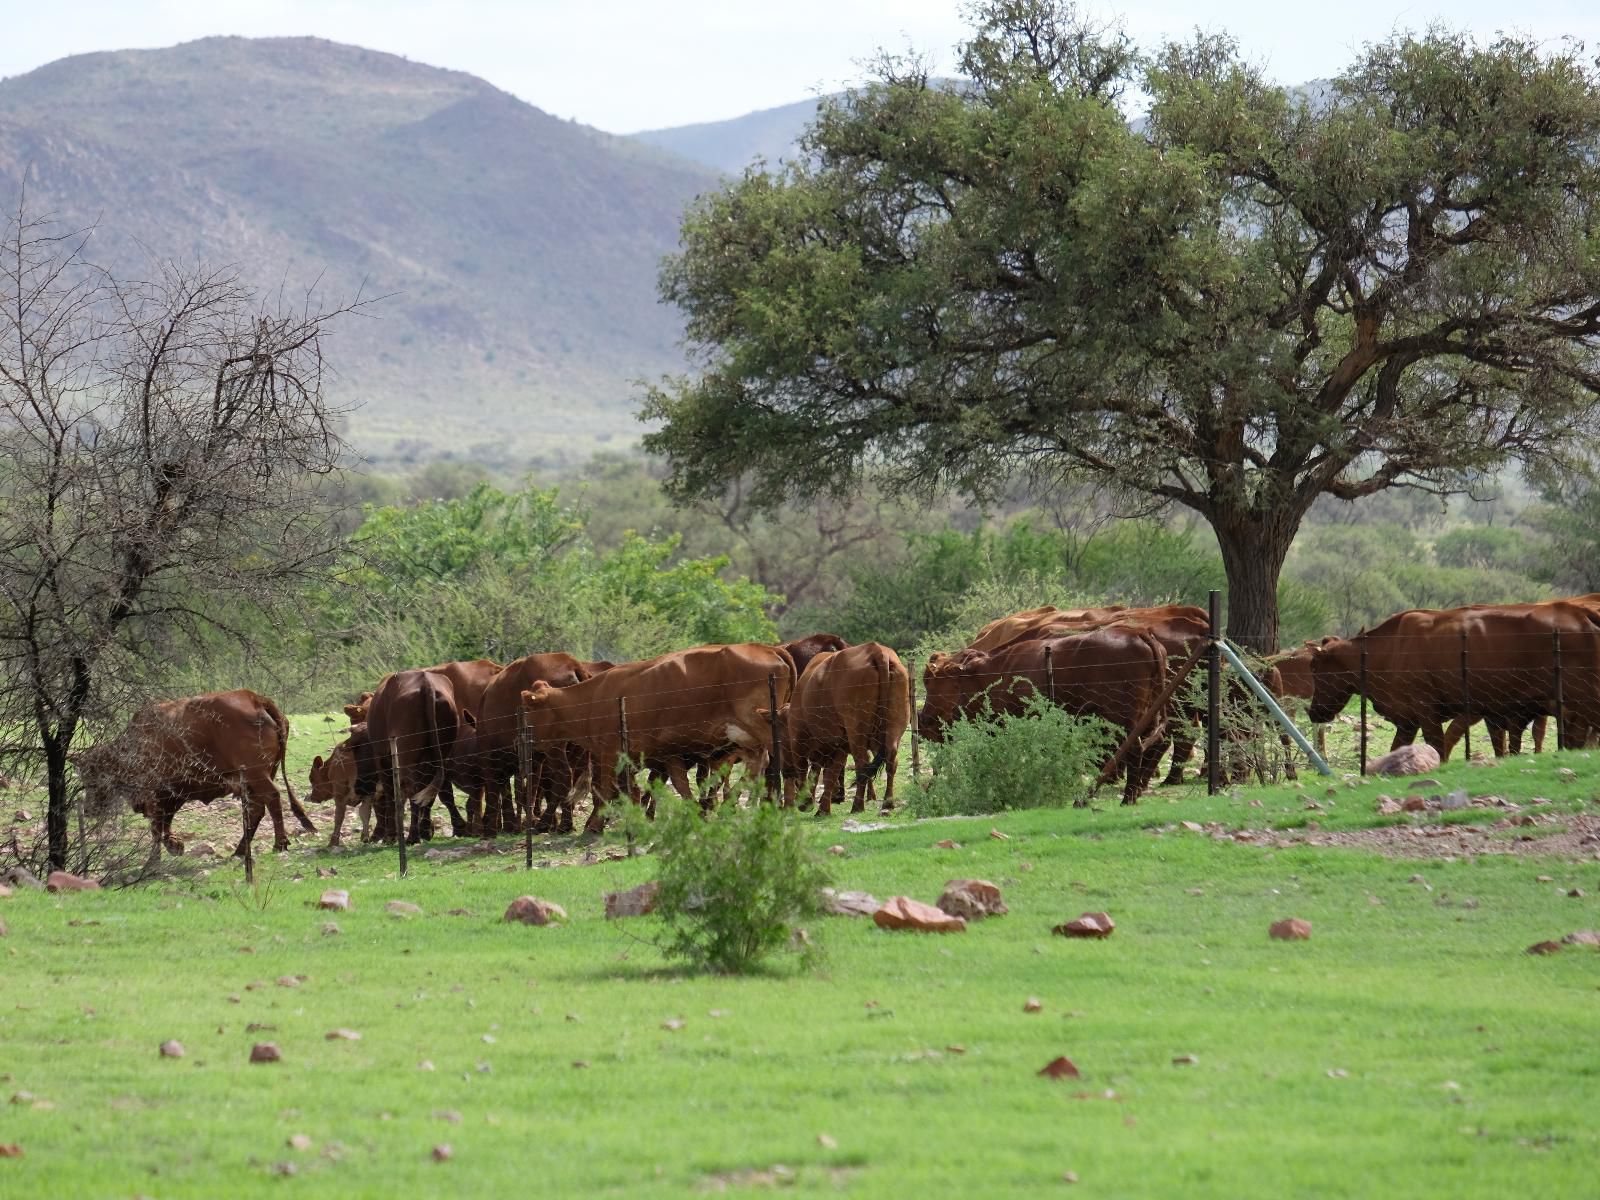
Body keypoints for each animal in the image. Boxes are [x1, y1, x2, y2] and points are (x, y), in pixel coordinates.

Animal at [76, 691, 320, 857]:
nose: (88, 810)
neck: (136, 745)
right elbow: (165, 823)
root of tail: (255, 698)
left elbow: (157, 826)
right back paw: (241, 850)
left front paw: (158, 857)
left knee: (272, 798)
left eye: (91, 776)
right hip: (257, 778)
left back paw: (279, 843)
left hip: (256, 775)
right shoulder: (173, 793)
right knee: (256, 808)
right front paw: (174, 844)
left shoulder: (156, 793)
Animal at [521, 643, 796, 832]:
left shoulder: (609, 752)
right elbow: (669, 785)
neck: (594, 699)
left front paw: (596, 824)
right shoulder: (662, 753)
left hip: (761, 727)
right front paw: (694, 812)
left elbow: (606, 788)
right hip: (744, 737)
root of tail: (767, 648)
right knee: (756, 766)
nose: (524, 741)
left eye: (529, 711)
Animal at [777, 643, 908, 825]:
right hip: (893, 729)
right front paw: (822, 809)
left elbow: (807, 770)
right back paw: (888, 803)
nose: (785, 770)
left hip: (856, 732)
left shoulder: (799, 739)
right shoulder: (840, 747)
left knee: (862, 765)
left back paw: (857, 806)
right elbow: (828, 776)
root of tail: (876, 650)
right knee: (891, 761)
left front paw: (806, 802)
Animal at [921, 630, 1171, 809]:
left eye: (933, 683)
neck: (991, 674)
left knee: (1134, 749)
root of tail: (1138, 634)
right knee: (1152, 743)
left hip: (1123, 718)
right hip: (1148, 715)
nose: (924, 720)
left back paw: (1126, 798)